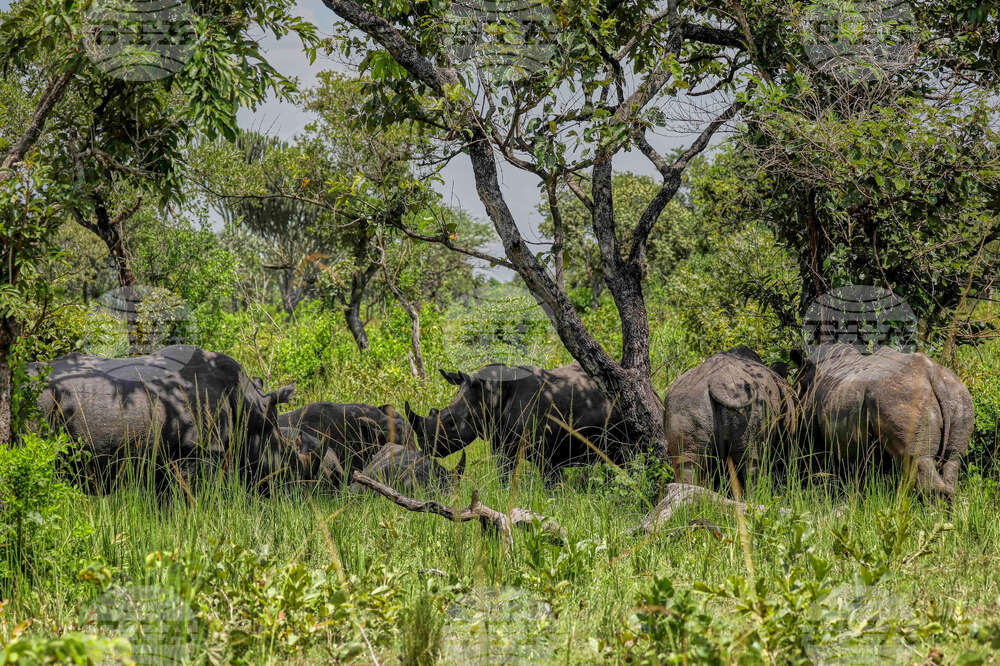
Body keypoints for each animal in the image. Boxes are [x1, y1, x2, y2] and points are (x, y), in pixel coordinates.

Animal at [404, 363, 637, 483]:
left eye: (451, 422)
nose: (424, 446)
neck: (490, 394)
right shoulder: (502, 444)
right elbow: (504, 475)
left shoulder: (546, 451)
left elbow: (551, 482)